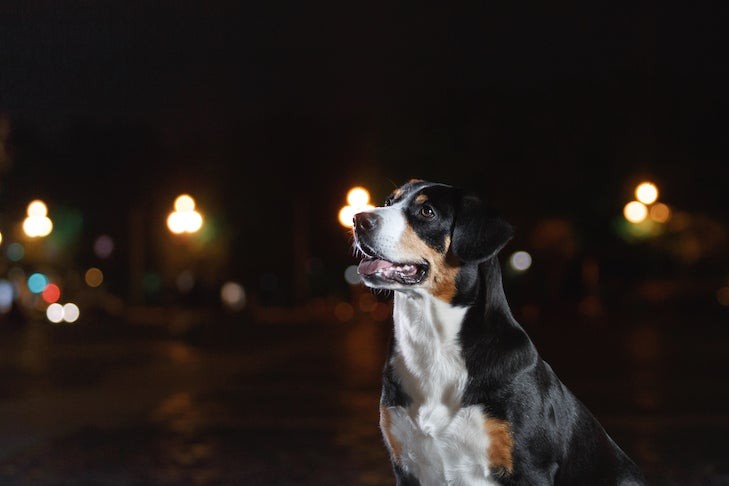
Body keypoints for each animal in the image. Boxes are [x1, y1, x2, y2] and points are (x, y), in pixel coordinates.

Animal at [352, 180, 644, 484]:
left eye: (427, 211)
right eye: (388, 202)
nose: (359, 220)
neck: (433, 345)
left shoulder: (530, 468)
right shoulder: (406, 466)